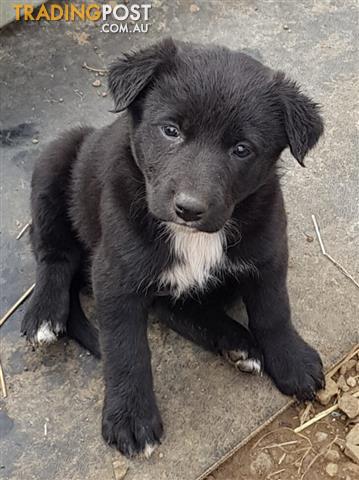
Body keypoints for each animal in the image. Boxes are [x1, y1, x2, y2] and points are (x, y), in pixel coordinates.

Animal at [21, 37, 326, 458]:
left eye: (242, 149)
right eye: (171, 130)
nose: (189, 209)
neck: (192, 237)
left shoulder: (267, 252)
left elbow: (273, 311)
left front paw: (292, 361)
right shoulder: (116, 276)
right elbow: (126, 350)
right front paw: (130, 417)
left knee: (174, 307)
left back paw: (237, 342)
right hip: (54, 163)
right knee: (53, 254)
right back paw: (45, 314)